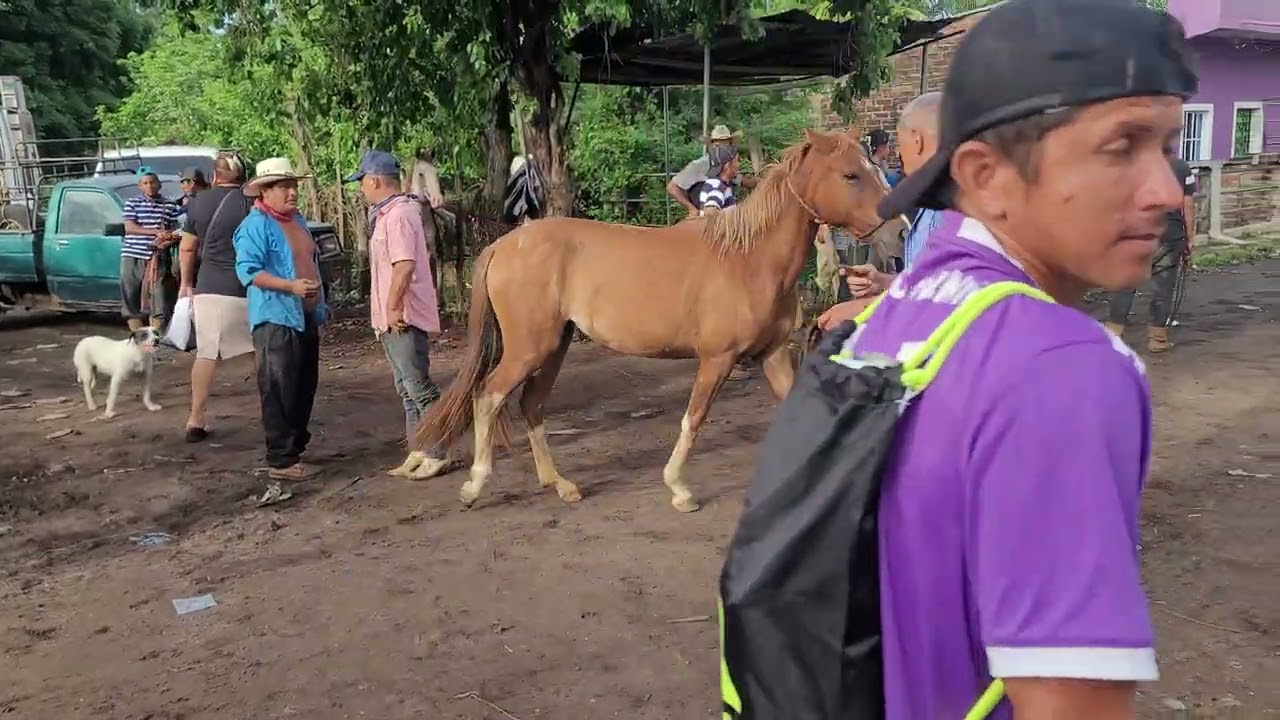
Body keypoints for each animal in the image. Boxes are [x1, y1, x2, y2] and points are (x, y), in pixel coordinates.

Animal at [414, 128, 904, 513]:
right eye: (850, 174)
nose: (899, 230)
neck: (750, 259)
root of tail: (504, 245)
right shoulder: (717, 360)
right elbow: (694, 419)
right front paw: (679, 489)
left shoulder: (774, 355)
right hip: (528, 348)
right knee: (488, 395)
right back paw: (475, 484)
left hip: (555, 346)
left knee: (531, 405)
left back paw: (560, 484)